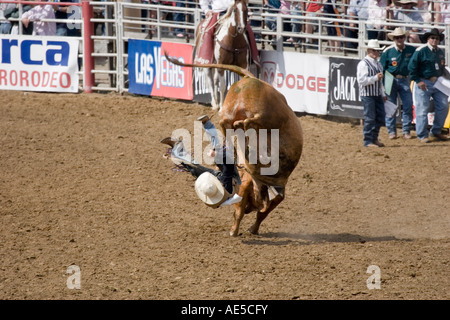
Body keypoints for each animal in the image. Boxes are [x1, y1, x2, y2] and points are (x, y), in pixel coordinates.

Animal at [164, 53, 302, 236]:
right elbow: (254, 210)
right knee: (246, 125)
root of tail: (250, 80)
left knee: (232, 124)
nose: (251, 208)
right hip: (261, 117)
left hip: (235, 112)